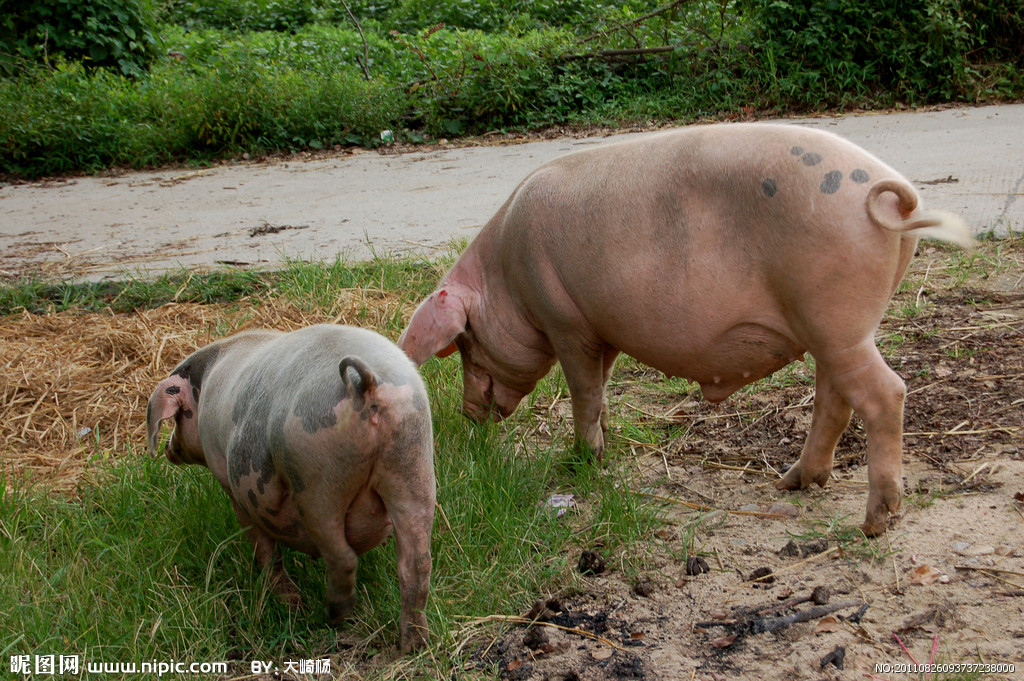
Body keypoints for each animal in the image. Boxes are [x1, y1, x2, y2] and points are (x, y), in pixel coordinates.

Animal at [146, 325, 434, 655]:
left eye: (178, 418)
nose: (168, 449)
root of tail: (367, 382)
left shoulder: (228, 481)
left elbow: (262, 544)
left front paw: (286, 601)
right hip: (413, 459)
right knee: (416, 564)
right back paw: (413, 645)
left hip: (315, 477)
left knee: (343, 557)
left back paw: (331, 615)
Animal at [395, 122, 970, 536]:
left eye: (464, 342)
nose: (468, 415)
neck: (509, 280)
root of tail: (894, 191)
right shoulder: (601, 328)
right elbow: (602, 386)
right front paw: (604, 442)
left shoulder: (566, 320)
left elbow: (582, 389)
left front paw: (582, 460)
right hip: (835, 327)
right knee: (835, 398)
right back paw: (793, 483)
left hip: (835, 316)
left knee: (886, 392)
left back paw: (875, 524)